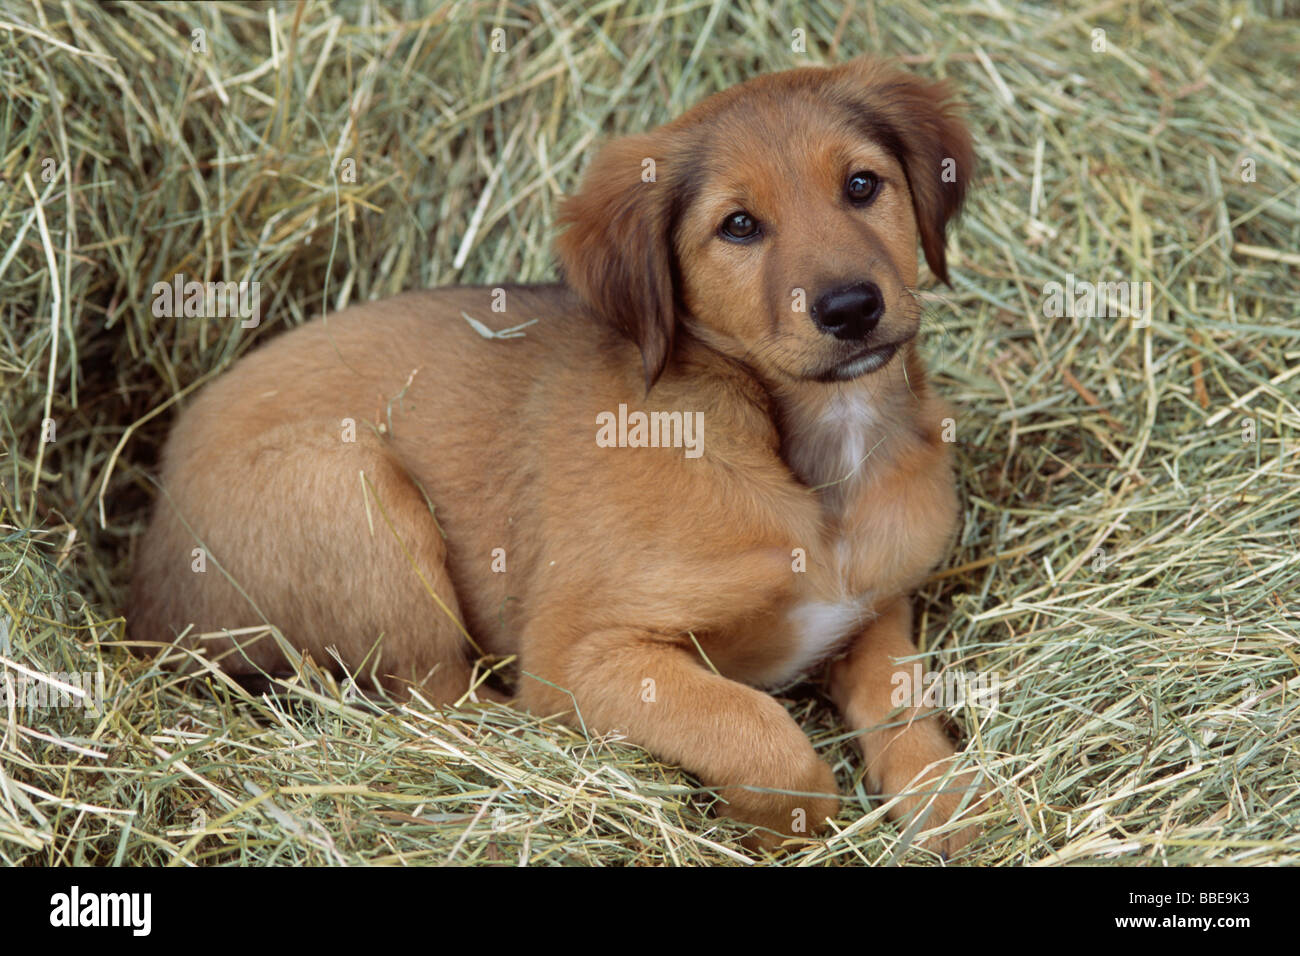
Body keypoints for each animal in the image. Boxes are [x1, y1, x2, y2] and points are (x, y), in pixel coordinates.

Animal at [134, 57, 982, 853]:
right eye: (739, 226)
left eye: (862, 185)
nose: (851, 308)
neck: (807, 454)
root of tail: (143, 568)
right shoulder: (579, 653)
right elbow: (761, 732)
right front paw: (779, 827)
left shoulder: (877, 602)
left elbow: (899, 701)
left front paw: (948, 803)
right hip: (348, 482)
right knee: (439, 701)